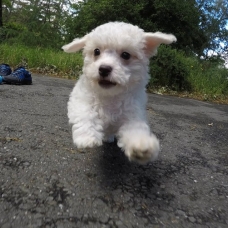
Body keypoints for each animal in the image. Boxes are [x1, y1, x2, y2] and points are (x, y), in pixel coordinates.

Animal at [62, 21, 176, 164]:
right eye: (96, 51)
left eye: (126, 55)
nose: (104, 69)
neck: (110, 95)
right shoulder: (81, 98)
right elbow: (85, 113)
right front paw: (87, 138)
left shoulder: (132, 113)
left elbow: (135, 128)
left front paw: (141, 146)